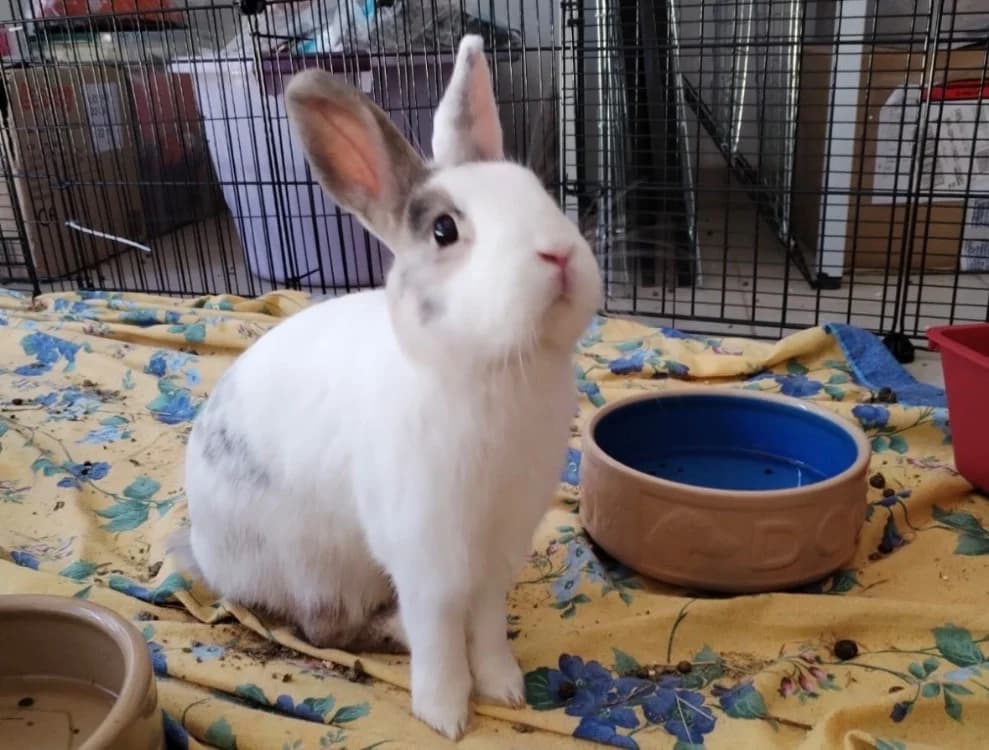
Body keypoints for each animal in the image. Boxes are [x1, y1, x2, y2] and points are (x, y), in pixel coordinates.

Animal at [182, 34, 602, 740]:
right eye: (444, 231)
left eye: (537, 192)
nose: (559, 255)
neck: (494, 373)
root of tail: (203, 556)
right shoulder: (427, 551)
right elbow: (439, 629)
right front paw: (446, 714)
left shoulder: (502, 545)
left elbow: (487, 621)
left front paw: (506, 688)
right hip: (317, 567)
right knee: (327, 629)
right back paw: (391, 631)